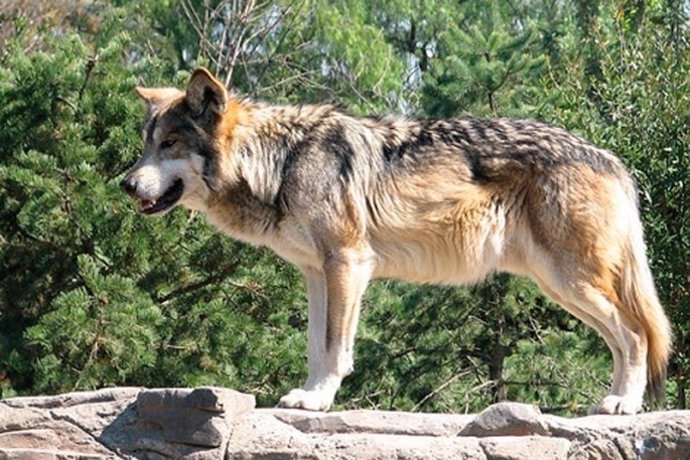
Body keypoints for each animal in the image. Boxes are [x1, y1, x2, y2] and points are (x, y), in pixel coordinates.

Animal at [121, 66, 668, 416]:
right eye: (145, 145)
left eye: (169, 144)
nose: (125, 185)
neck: (281, 160)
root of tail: (609, 158)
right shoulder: (317, 273)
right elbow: (315, 347)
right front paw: (305, 396)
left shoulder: (347, 263)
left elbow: (334, 347)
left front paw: (318, 401)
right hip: (560, 286)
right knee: (626, 338)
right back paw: (614, 402)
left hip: (569, 280)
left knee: (637, 334)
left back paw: (623, 405)